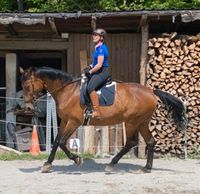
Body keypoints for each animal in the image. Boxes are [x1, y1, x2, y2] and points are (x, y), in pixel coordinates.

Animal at [19, 66, 187, 173]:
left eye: (27, 85)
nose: (28, 108)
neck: (67, 90)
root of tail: (151, 91)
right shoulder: (66, 121)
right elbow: (55, 142)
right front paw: (47, 164)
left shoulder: (74, 122)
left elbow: (61, 142)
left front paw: (77, 159)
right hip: (141, 122)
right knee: (150, 141)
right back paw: (147, 168)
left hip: (131, 122)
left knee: (131, 142)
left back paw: (111, 165)